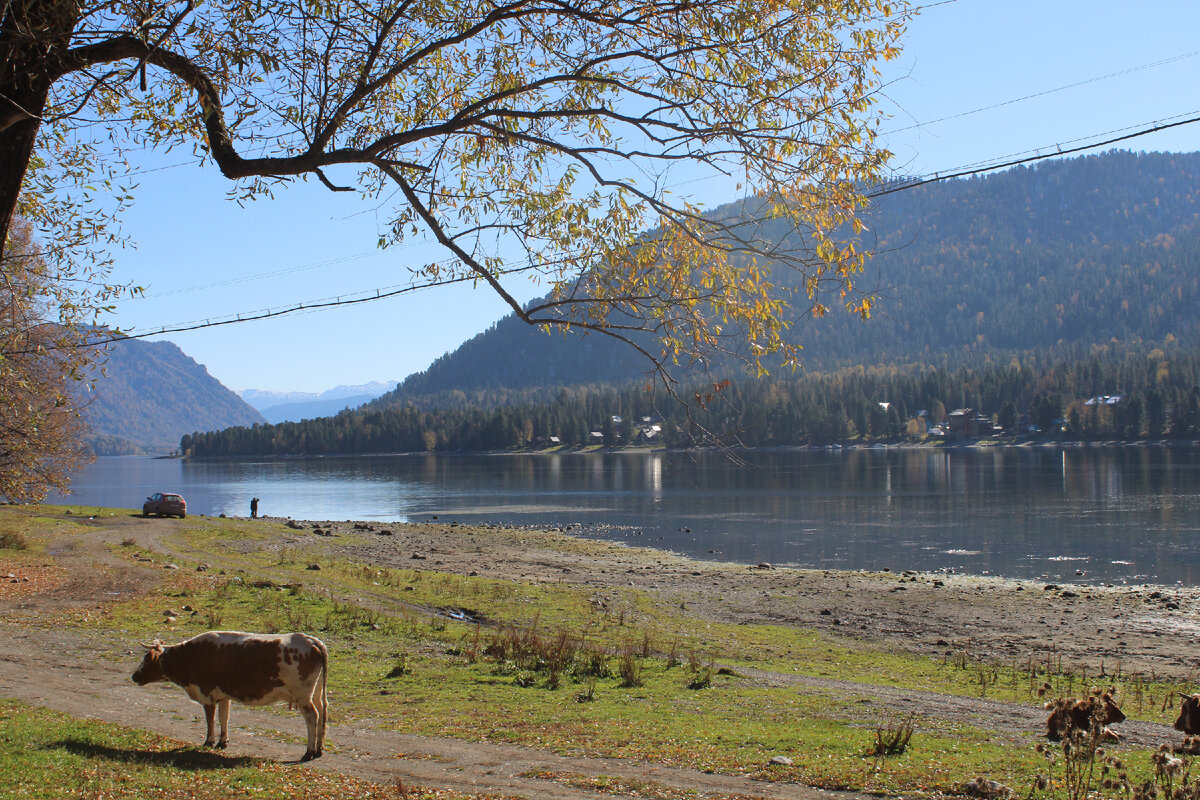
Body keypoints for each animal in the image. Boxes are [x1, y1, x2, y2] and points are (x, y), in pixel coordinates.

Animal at [135, 633, 328, 762]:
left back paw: (309, 752)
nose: (134, 676)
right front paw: (222, 741)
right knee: (322, 712)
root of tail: (312, 641)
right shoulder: (223, 696)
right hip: (316, 693)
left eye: (147, 659)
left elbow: (210, 720)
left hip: (303, 697)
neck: (190, 656)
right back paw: (318, 750)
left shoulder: (207, 695)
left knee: (313, 717)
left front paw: (209, 742)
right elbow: (224, 717)